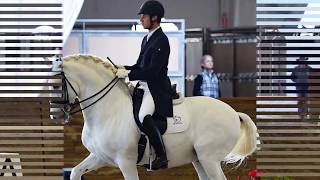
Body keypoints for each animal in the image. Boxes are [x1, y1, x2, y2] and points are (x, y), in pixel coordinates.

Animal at [53, 54, 258, 179]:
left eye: (57, 85)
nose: (56, 115)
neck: (110, 109)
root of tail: (233, 113)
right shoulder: (100, 156)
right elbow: (75, 172)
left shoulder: (125, 162)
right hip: (200, 159)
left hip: (210, 158)